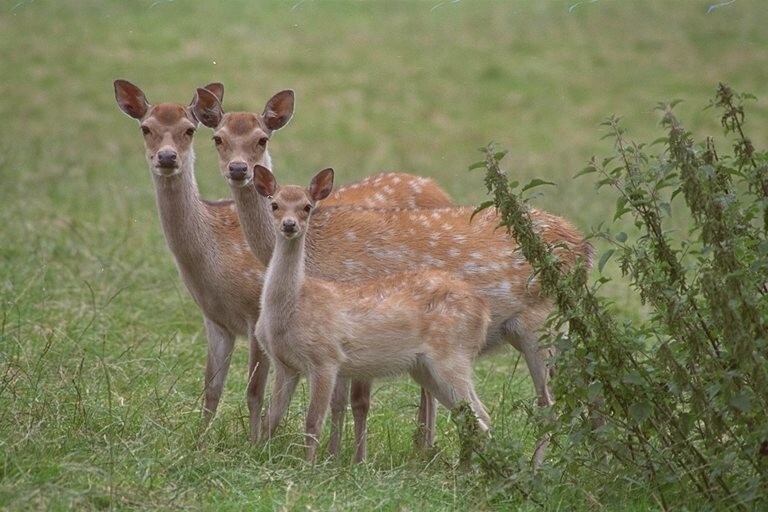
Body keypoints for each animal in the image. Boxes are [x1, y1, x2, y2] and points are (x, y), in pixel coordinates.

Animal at [114, 79, 456, 444]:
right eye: (146, 128)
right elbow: (211, 389)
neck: (212, 257)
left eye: (189, 130)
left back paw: (425, 443)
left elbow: (254, 391)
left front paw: (252, 442)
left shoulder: (255, 312)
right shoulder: (214, 320)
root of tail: (441, 190)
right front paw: (200, 442)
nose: (167, 157)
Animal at [254, 166, 492, 462]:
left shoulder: (326, 358)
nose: (289, 225)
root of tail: (484, 310)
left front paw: (308, 465)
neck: (292, 308)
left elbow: (313, 422)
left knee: (480, 417)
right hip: (425, 368)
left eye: (307, 207)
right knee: (473, 415)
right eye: (274, 204)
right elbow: (271, 417)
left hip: (452, 355)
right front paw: (257, 452)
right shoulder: (285, 364)